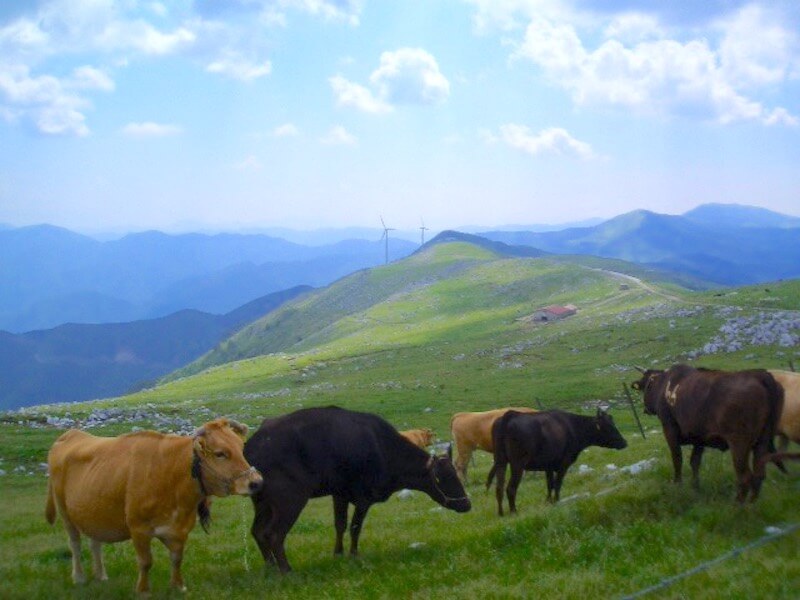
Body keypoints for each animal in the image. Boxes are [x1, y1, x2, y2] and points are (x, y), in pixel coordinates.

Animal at [45, 420, 264, 592]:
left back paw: (101, 575)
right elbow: (146, 562)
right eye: (220, 454)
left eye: (241, 448)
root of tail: (70, 435)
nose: (256, 482)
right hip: (65, 512)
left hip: (93, 513)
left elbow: (177, 558)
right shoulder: (138, 528)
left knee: (94, 542)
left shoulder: (180, 529)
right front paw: (143, 590)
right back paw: (79, 578)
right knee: (75, 543)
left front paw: (177, 586)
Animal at [242, 406, 468, 576]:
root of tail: (251, 446)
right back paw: (286, 570)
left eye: (456, 475)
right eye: (442, 478)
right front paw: (353, 555)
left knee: (257, 531)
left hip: (262, 503)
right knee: (273, 534)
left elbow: (340, 525)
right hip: (289, 501)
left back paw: (271, 568)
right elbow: (355, 527)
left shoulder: (339, 494)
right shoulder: (363, 498)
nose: (467, 504)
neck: (382, 448)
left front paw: (338, 554)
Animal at [488, 408, 624, 516]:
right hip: (518, 463)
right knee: (510, 488)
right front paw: (557, 501)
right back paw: (513, 511)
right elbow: (558, 484)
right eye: (609, 426)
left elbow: (550, 484)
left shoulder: (548, 465)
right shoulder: (564, 463)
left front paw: (549, 501)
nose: (624, 442)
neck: (573, 427)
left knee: (499, 488)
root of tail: (510, 415)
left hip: (500, 461)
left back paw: (501, 513)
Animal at [632, 366, 780, 502]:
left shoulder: (670, 429)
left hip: (739, 443)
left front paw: (678, 485)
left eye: (645, 386)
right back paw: (751, 504)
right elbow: (695, 462)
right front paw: (695, 487)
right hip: (762, 441)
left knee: (745, 477)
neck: (665, 385)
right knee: (759, 475)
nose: (645, 409)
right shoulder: (699, 438)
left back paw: (737, 507)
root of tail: (759, 375)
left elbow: (677, 459)